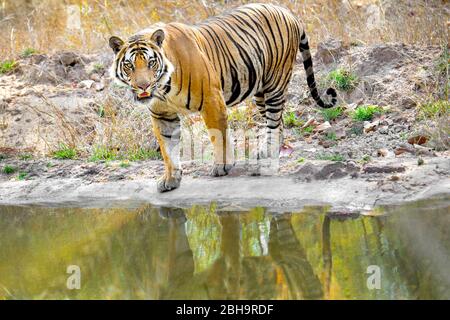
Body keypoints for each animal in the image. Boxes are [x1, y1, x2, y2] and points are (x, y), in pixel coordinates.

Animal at [108, 2, 334, 192]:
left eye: (151, 63)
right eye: (129, 65)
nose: (143, 86)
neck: (164, 89)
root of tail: (287, 11)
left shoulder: (211, 100)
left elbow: (219, 136)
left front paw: (222, 166)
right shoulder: (162, 115)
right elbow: (167, 149)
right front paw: (171, 179)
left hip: (275, 84)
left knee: (274, 120)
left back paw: (267, 157)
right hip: (260, 91)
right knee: (279, 122)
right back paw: (267, 151)